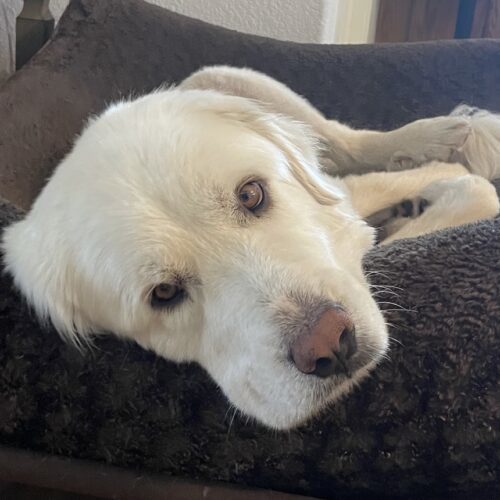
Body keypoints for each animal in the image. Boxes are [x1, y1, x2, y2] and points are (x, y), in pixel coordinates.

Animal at [1, 67, 498, 430]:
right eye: (163, 294)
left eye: (251, 194)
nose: (330, 344)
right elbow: (466, 192)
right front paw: (405, 218)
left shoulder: (349, 195)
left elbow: (470, 185)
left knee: (351, 140)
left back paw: (442, 134)